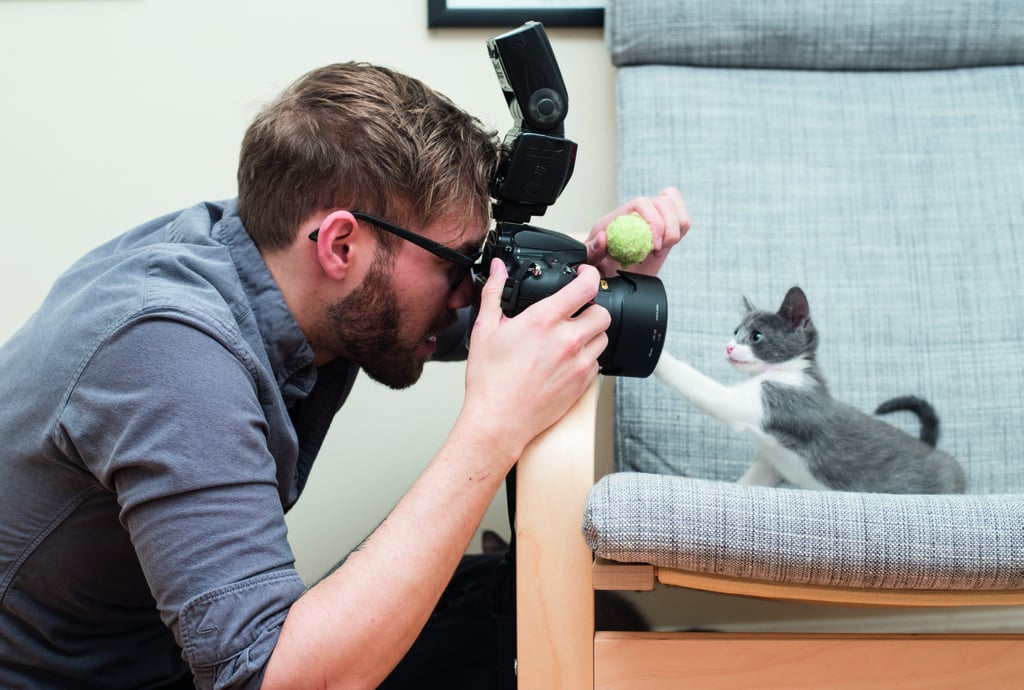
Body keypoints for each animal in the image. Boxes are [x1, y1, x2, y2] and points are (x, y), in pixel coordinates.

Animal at [655, 286, 966, 495]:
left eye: (756, 336)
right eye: (735, 332)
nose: (729, 347)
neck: (787, 372)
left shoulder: (782, 401)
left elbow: (702, 385)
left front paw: (660, 359)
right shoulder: (773, 459)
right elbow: (757, 477)